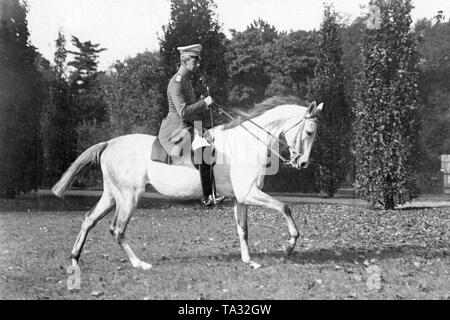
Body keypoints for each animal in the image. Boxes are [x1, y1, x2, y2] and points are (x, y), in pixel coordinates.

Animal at [52, 97, 322, 270]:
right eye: (309, 132)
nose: (303, 163)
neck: (246, 142)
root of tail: (111, 143)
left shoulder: (241, 198)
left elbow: (243, 230)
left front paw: (249, 261)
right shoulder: (249, 193)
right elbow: (284, 207)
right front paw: (289, 245)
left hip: (111, 196)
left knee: (89, 220)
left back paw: (75, 259)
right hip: (129, 197)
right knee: (117, 230)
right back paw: (140, 264)